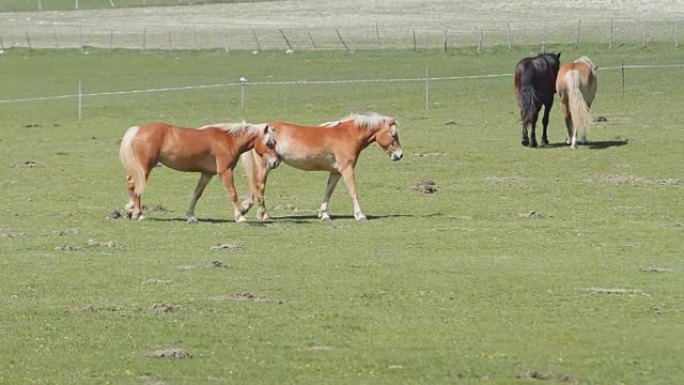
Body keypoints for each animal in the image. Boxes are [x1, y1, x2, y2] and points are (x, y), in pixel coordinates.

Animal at [119, 120, 280, 222]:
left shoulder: (207, 174)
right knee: (136, 187)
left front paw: (190, 215)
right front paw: (239, 216)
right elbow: (233, 194)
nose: (275, 163)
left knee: (130, 183)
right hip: (145, 168)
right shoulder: (225, 172)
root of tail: (138, 129)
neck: (228, 140)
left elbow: (197, 194)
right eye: (269, 143)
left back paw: (131, 210)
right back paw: (138, 214)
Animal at [239, 112, 400, 219]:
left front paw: (324, 214)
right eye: (393, 135)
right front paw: (360, 215)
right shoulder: (347, 169)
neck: (349, 135)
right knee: (259, 187)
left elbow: (328, 190)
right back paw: (264, 215)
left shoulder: (336, 172)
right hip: (265, 166)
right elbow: (353, 190)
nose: (400, 155)